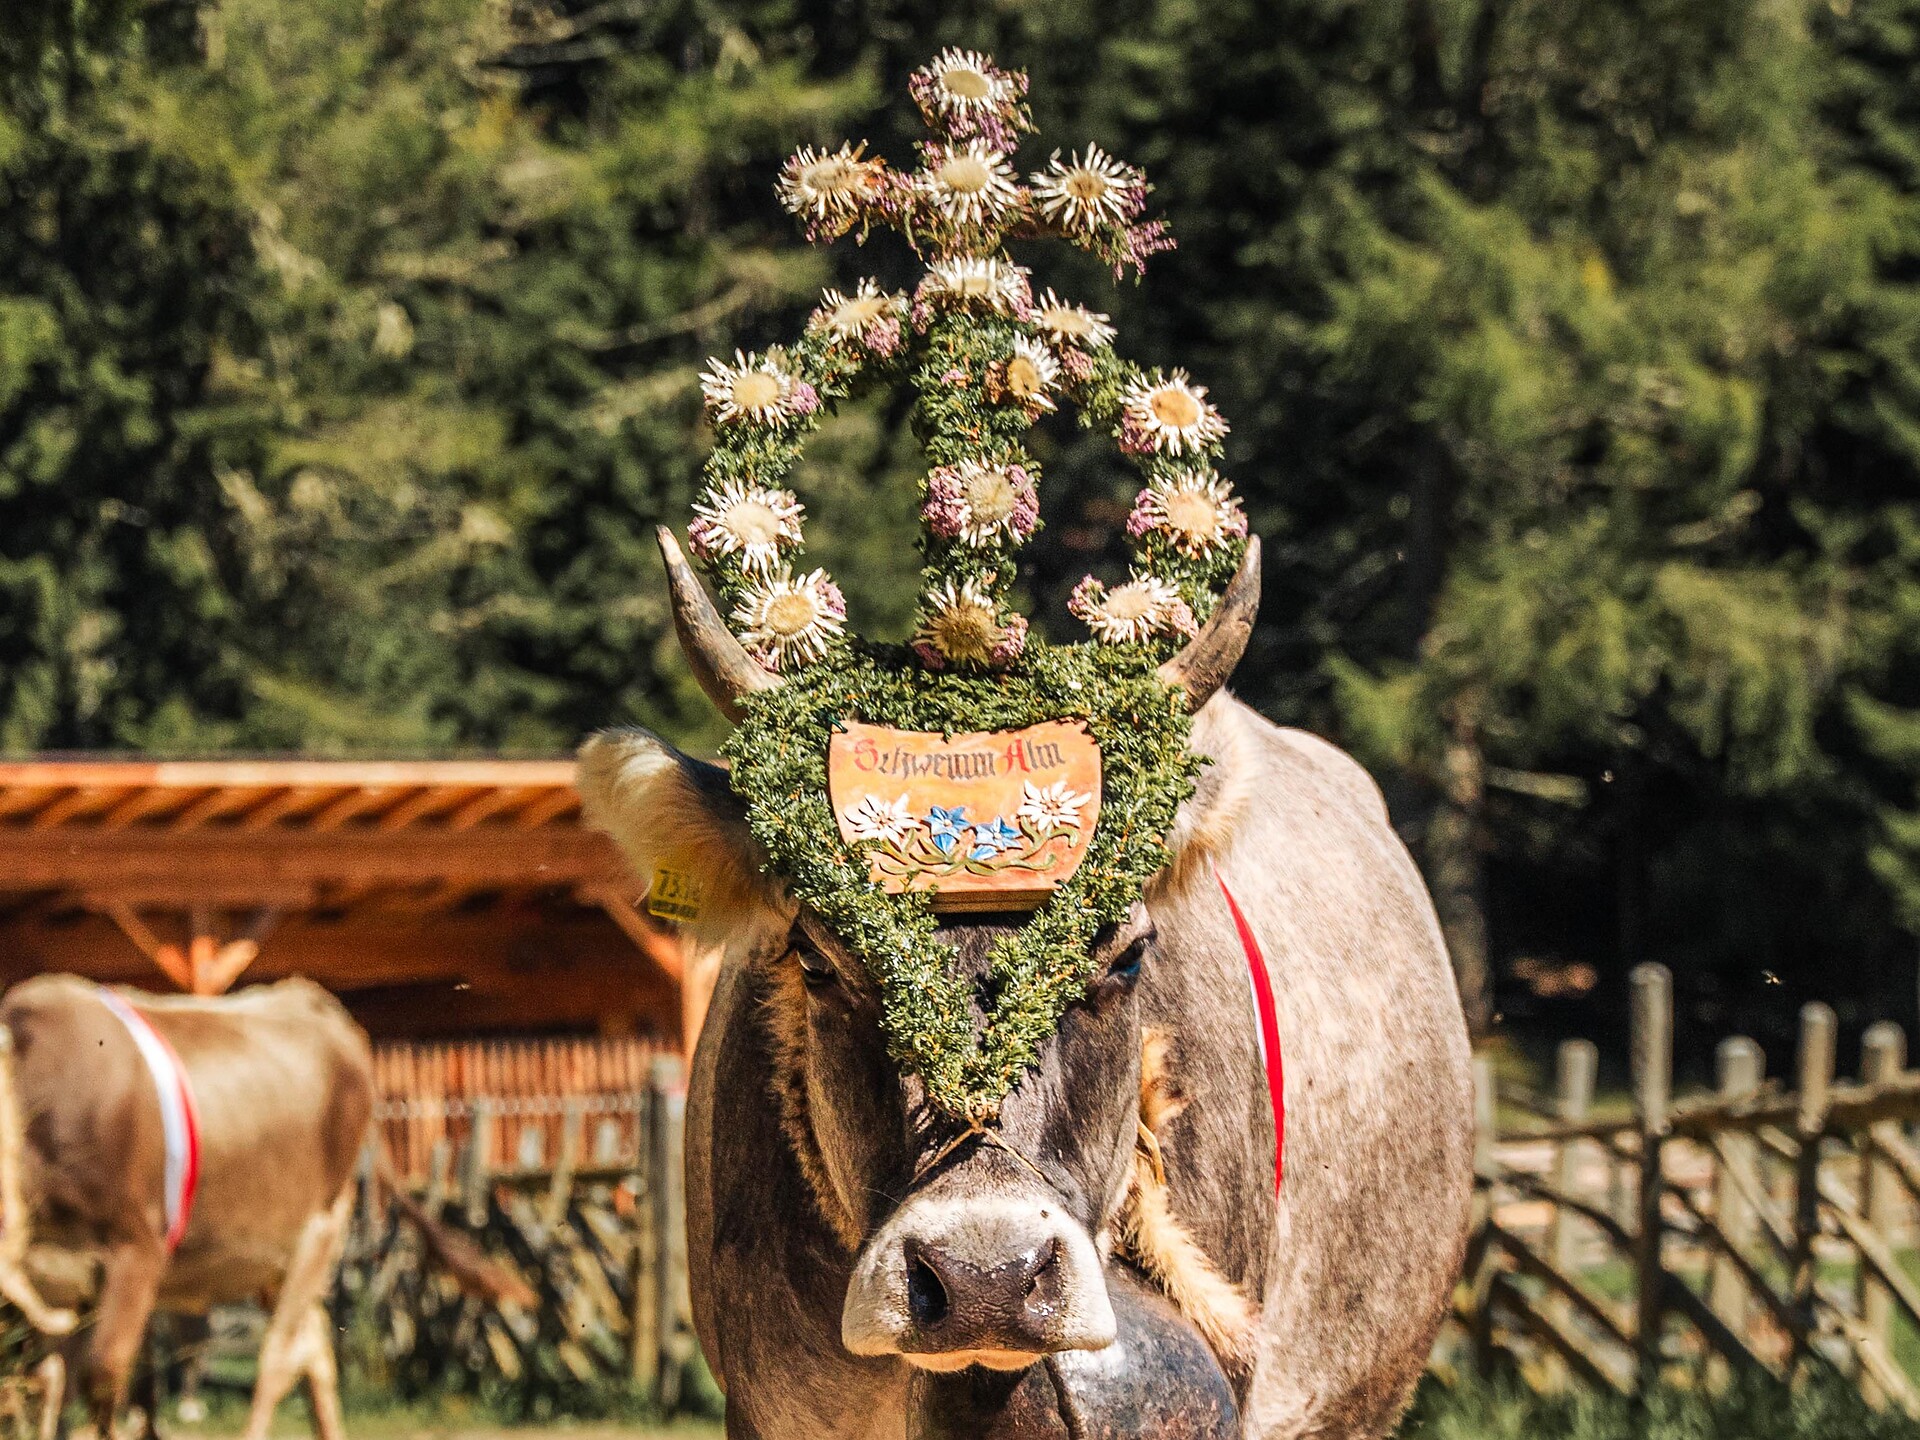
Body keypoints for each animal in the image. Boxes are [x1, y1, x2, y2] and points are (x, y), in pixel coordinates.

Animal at [0, 974, 532, 1440]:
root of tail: (314, 1001)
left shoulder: (137, 1251)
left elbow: (103, 1375)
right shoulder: (58, 1285)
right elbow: (49, 1387)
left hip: (319, 1229)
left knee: (281, 1355)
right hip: (267, 1260)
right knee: (315, 1349)